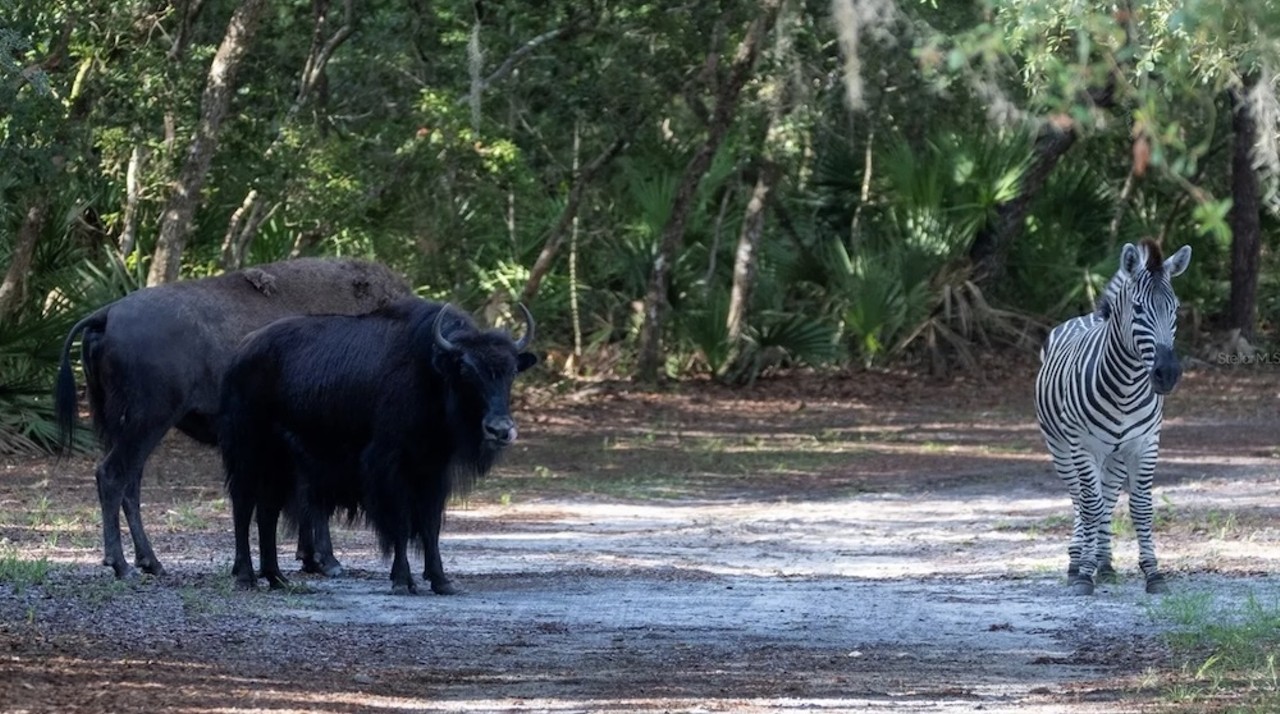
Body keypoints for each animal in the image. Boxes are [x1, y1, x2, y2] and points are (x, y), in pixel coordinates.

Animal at [55, 258, 409, 583]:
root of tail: (107, 315)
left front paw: (311, 560)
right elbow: (313, 503)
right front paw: (328, 562)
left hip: (125, 427)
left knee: (130, 484)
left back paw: (151, 563)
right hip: (148, 421)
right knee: (113, 476)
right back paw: (123, 566)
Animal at [218, 299, 535, 596]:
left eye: (511, 372)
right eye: (466, 371)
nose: (500, 429)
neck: (429, 373)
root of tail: (240, 353)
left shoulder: (433, 470)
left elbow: (431, 524)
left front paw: (441, 581)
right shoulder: (389, 466)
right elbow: (401, 523)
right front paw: (402, 581)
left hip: (279, 462)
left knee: (267, 511)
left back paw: (277, 578)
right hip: (248, 452)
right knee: (243, 506)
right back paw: (246, 577)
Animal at [1034, 241, 1192, 598]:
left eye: (1175, 309)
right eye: (1138, 309)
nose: (1167, 374)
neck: (1126, 387)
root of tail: (1087, 316)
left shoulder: (1144, 445)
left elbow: (1141, 508)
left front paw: (1153, 574)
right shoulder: (1084, 446)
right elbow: (1089, 505)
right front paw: (1083, 575)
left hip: (1116, 455)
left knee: (1105, 499)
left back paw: (1103, 563)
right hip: (1060, 447)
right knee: (1081, 499)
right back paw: (1078, 561)